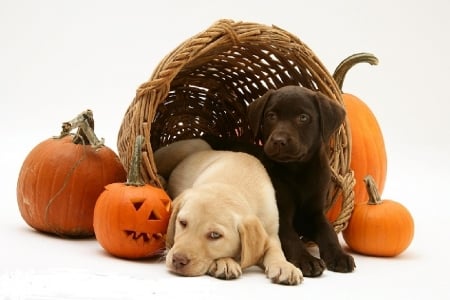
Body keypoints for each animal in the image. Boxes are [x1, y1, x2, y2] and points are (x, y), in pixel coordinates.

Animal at [154, 139, 302, 284]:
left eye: (215, 235)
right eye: (183, 223)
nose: (178, 260)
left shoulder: (271, 233)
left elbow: (275, 250)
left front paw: (284, 266)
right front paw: (225, 262)